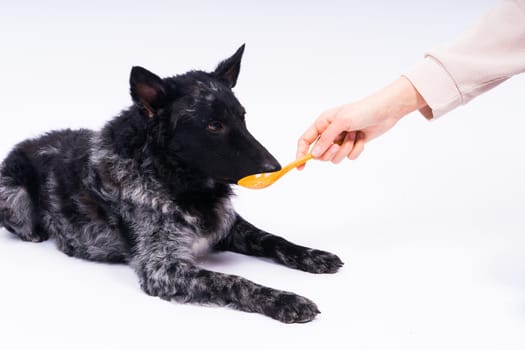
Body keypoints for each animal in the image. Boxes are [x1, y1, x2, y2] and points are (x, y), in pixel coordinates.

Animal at [0, 45, 342, 322]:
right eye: (213, 126)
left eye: (242, 117)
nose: (274, 167)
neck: (173, 179)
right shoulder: (163, 267)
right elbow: (233, 281)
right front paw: (284, 300)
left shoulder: (228, 225)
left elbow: (273, 239)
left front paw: (312, 255)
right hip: (14, 195)